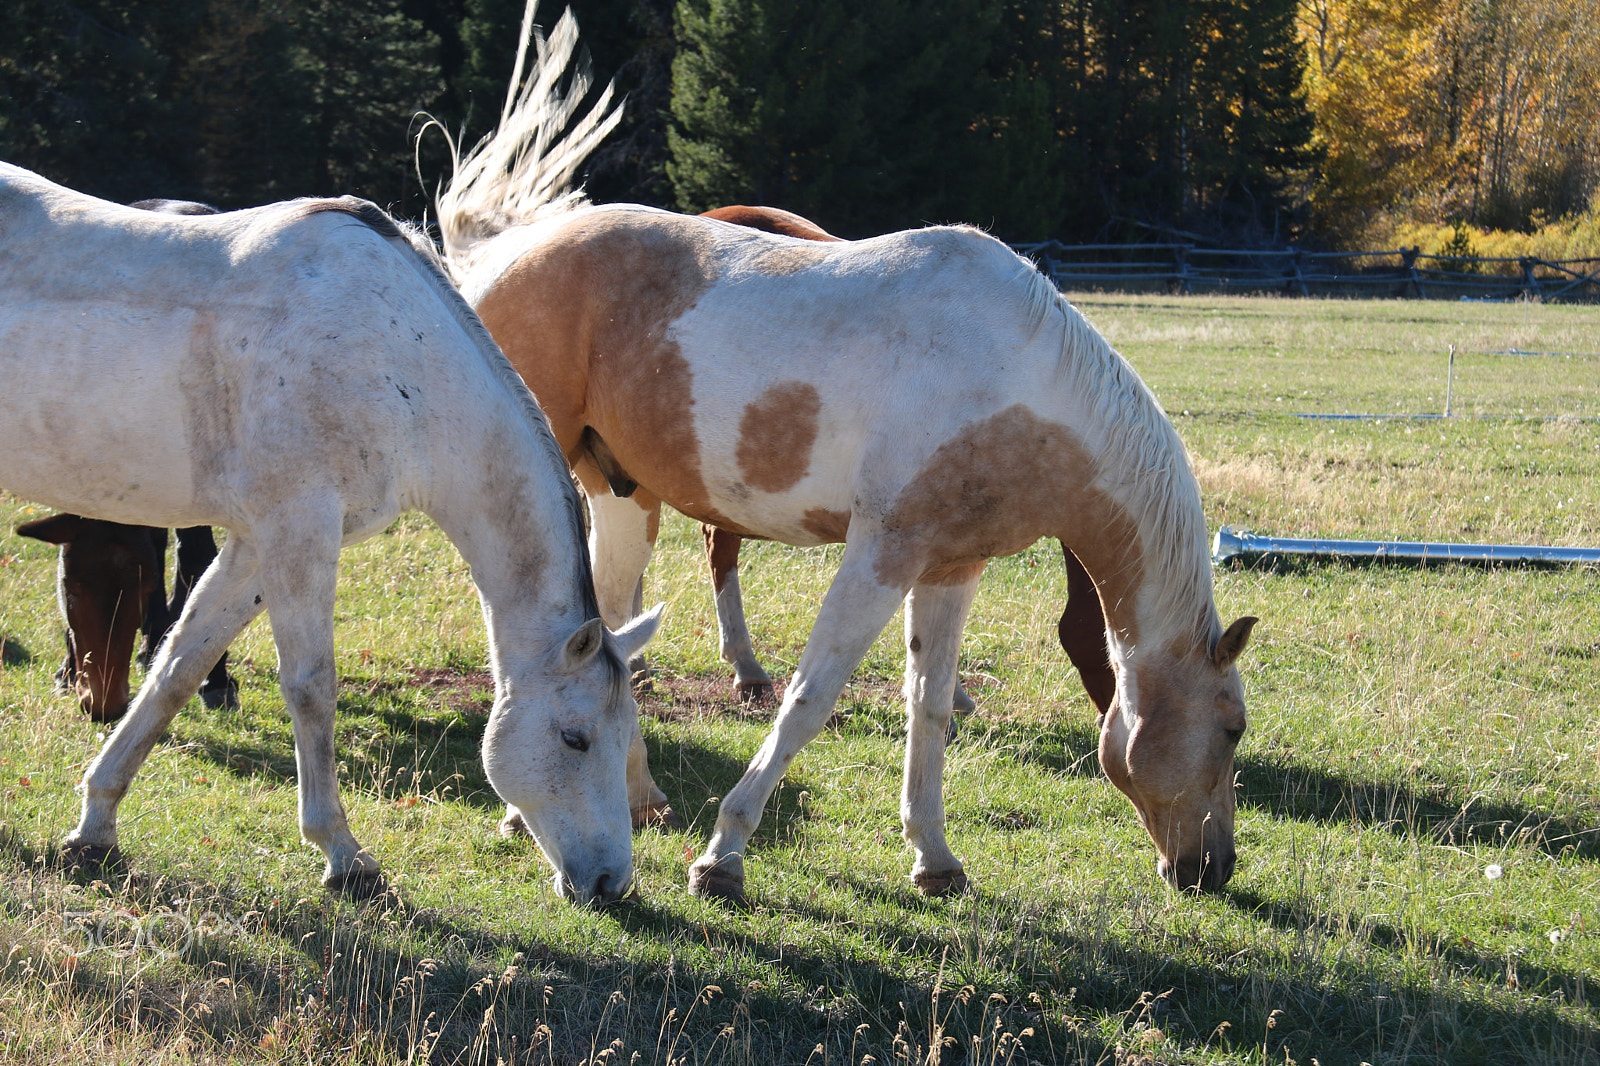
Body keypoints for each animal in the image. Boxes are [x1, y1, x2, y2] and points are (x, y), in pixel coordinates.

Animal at [16, 199, 236, 723]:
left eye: (137, 588)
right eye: (69, 588)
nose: (102, 704)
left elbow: (195, 568)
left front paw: (214, 677)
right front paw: (67, 669)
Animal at [428, 15, 1257, 904]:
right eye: (1233, 728)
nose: (1213, 868)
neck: (1016, 382)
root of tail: (505, 249)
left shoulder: (949, 568)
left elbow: (930, 706)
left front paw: (934, 856)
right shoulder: (880, 556)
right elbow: (810, 696)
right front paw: (723, 855)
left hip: (622, 493)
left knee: (611, 625)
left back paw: (637, 796)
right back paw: (540, 813)